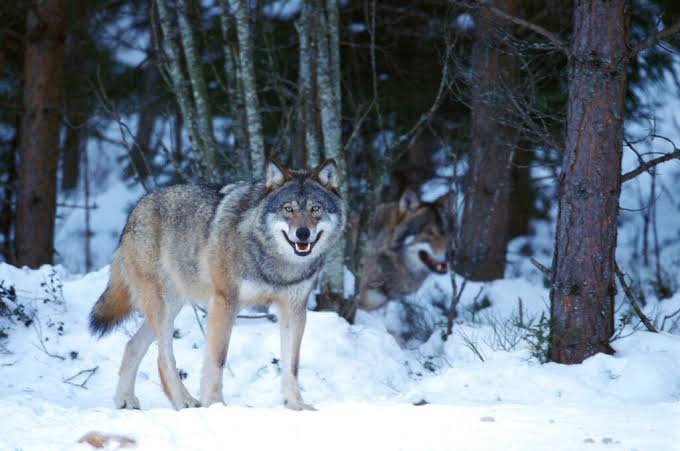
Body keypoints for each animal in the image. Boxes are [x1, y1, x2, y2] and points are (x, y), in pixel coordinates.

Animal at [88, 159, 345, 411]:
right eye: (288, 209)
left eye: (315, 208)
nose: (303, 234)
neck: (275, 264)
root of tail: (136, 208)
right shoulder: (225, 302)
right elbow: (218, 359)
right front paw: (214, 403)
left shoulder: (294, 309)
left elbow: (292, 364)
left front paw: (296, 405)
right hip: (162, 308)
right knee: (163, 358)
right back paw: (185, 401)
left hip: (170, 308)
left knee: (132, 345)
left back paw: (125, 399)